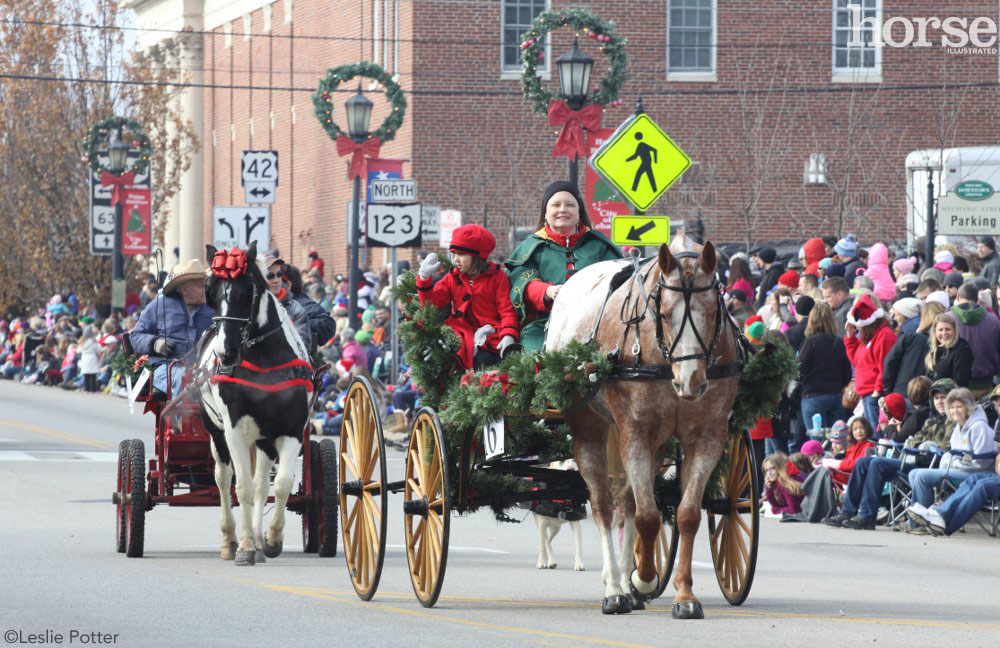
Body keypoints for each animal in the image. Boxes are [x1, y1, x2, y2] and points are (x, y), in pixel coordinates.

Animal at [197, 240, 310, 564]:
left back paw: (259, 541)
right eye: (210, 293)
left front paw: (270, 539)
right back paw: (230, 540)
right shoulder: (234, 431)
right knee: (223, 479)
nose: (225, 352)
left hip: (263, 439)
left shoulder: (291, 431)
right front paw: (245, 546)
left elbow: (280, 484)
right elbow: (242, 488)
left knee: (262, 483)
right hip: (217, 433)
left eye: (246, 293)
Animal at [544, 234, 740, 616]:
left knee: (629, 503)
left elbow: (686, 514)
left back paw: (628, 584)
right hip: (589, 425)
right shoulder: (634, 430)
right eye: (663, 314)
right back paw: (615, 589)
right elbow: (648, 517)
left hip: (655, 442)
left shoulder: (707, 435)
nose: (691, 380)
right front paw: (644, 578)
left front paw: (684, 596)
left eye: (713, 312)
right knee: (604, 505)